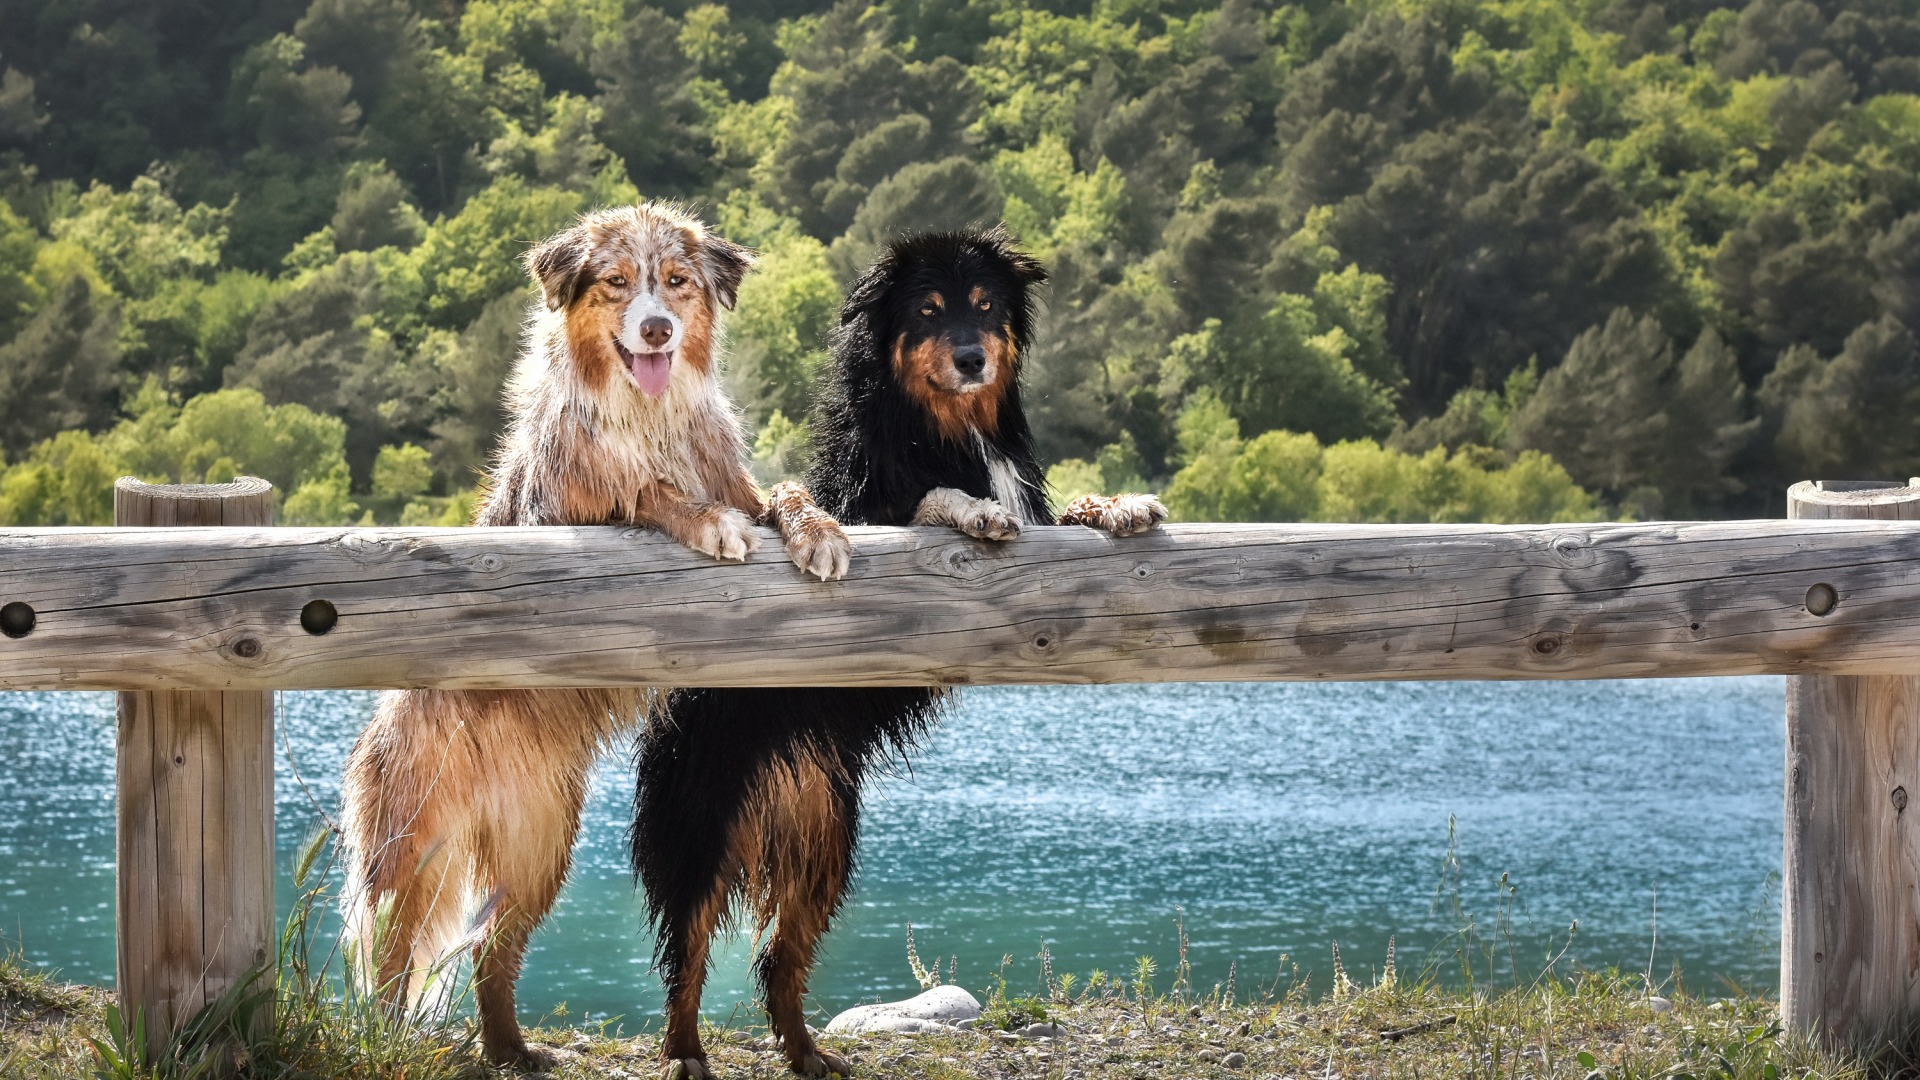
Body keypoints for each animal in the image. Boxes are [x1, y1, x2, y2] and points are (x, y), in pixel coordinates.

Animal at [343, 203, 848, 1068]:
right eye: (616, 283)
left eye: (676, 282)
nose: (656, 329)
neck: (647, 413)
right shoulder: (573, 513)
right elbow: (644, 491)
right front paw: (705, 521)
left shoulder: (738, 479)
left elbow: (782, 492)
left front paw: (818, 532)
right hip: (414, 851)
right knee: (393, 958)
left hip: (540, 850)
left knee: (491, 952)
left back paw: (511, 1050)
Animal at [637, 226, 1159, 1076]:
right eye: (928, 311)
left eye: (985, 307)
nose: (973, 358)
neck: (948, 426)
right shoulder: (869, 510)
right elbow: (928, 502)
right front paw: (971, 508)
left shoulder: (1039, 518)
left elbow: (1069, 512)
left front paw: (1120, 504)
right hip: (704, 827)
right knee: (687, 952)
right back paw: (684, 1053)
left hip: (822, 845)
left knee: (778, 960)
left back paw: (808, 1054)